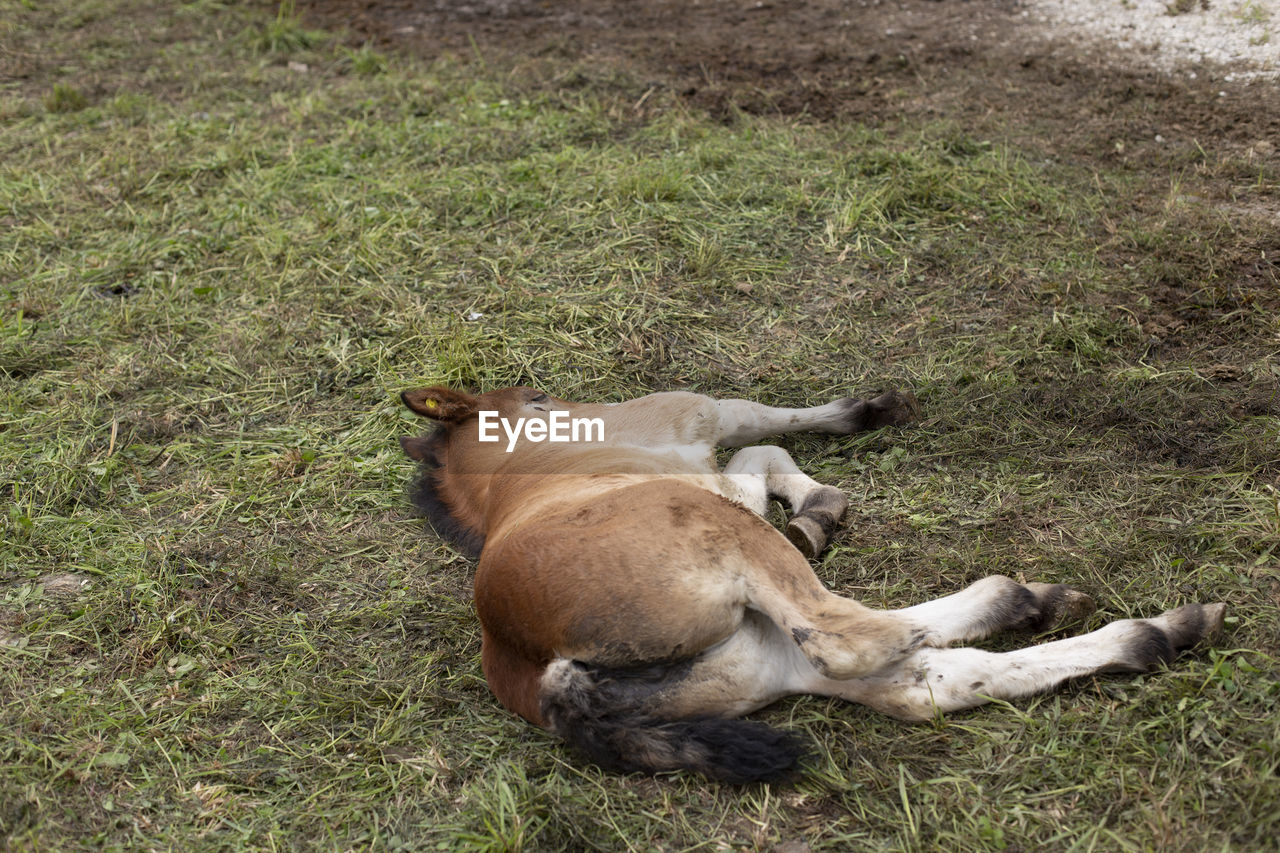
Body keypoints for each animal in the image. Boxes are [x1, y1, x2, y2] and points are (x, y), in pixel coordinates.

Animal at [401, 384, 1228, 778]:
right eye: (536, 401)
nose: (572, 405)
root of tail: (538, 669)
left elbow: (759, 455)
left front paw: (815, 511)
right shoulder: (691, 424)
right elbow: (752, 426)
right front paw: (853, 441)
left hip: (751, 659)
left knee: (918, 682)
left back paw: (1148, 629)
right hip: (725, 551)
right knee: (855, 640)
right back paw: (1022, 598)